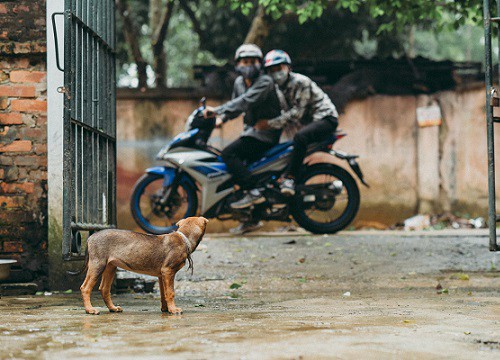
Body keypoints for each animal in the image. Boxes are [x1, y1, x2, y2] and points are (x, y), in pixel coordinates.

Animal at [69, 217, 208, 316]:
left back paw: (113, 308)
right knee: (85, 287)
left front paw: (166, 309)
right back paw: (90, 310)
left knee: (104, 289)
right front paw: (174, 310)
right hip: (97, 264)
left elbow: (163, 294)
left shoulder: (161, 275)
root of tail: (90, 238)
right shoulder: (168, 271)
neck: (184, 238)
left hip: (110, 267)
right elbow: (170, 292)